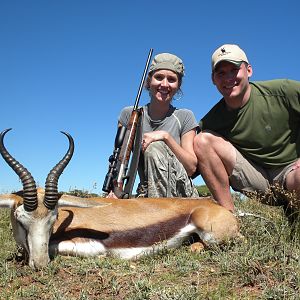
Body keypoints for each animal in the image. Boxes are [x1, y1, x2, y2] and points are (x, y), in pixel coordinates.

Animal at [0, 129, 239, 270]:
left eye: (52, 220)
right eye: (20, 220)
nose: (41, 265)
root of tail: (210, 204)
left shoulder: (91, 245)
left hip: (213, 235)